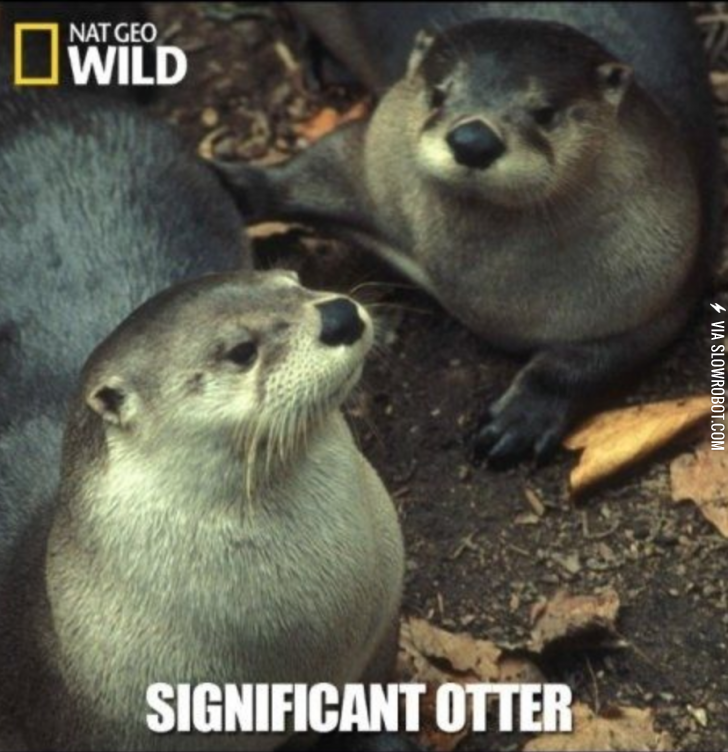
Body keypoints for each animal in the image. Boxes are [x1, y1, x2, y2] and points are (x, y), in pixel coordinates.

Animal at [216, 3, 720, 466]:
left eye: (544, 112)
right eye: (439, 94)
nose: (473, 140)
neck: (479, 291)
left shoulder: (657, 291)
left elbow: (588, 363)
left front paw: (523, 416)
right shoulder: (373, 162)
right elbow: (315, 164)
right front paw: (231, 183)